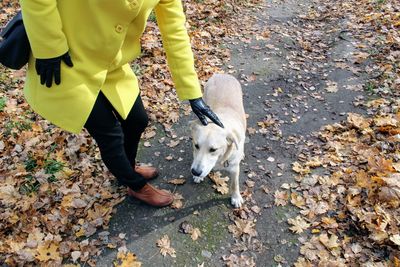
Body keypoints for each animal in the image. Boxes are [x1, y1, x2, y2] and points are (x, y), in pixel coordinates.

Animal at [191, 74, 247, 209]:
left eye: (213, 149)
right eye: (196, 145)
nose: (195, 171)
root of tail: (222, 74)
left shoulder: (234, 168)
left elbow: (234, 184)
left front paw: (236, 197)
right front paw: (197, 177)